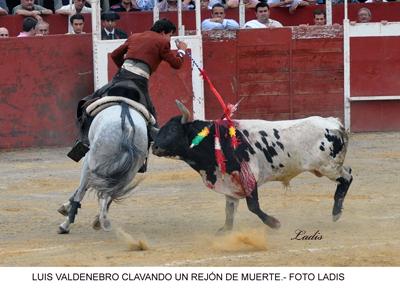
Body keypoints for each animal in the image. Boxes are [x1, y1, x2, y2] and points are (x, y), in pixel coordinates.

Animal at [59, 101, 152, 234]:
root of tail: (128, 128)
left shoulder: (89, 162)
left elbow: (82, 188)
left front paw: (66, 208)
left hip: (92, 162)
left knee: (85, 191)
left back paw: (66, 225)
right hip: (129, 172)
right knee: (110, 192)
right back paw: (102, 220)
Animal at [152, 101, 352, 233]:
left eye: (172, 130)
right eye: (160, 130)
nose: (154, 147)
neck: (215, 140)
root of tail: (334, 123)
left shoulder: (248, 176)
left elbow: (253, 206)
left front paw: (274, 223)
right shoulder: (230, 182)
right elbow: (229, 209)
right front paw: (225, 230)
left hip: (328, 167)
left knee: (347, 177)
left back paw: (336, 213)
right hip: (324, 168)